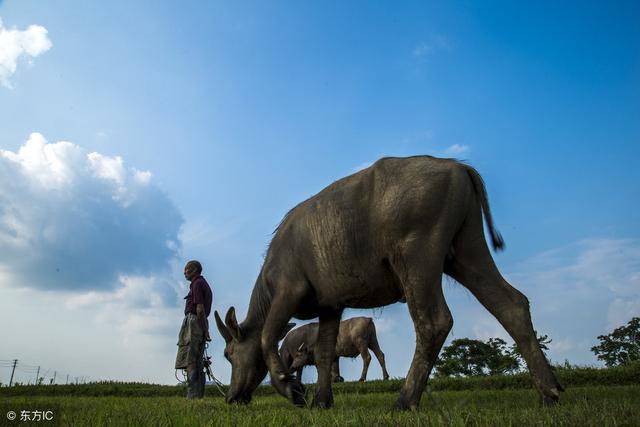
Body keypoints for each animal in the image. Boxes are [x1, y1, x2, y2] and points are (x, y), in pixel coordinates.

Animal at [214, 156, 560, 412]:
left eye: (229, 354)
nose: (231, 397)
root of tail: (457, 166)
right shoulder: (330, 306)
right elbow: (325, 352)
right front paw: (322, 400)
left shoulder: (288, 292)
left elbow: (266, 337)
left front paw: (291, 388)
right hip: (467, 252)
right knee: (511, 304)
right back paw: (550, 391)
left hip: (417, 257)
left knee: (433, 322)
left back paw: (405, 400)